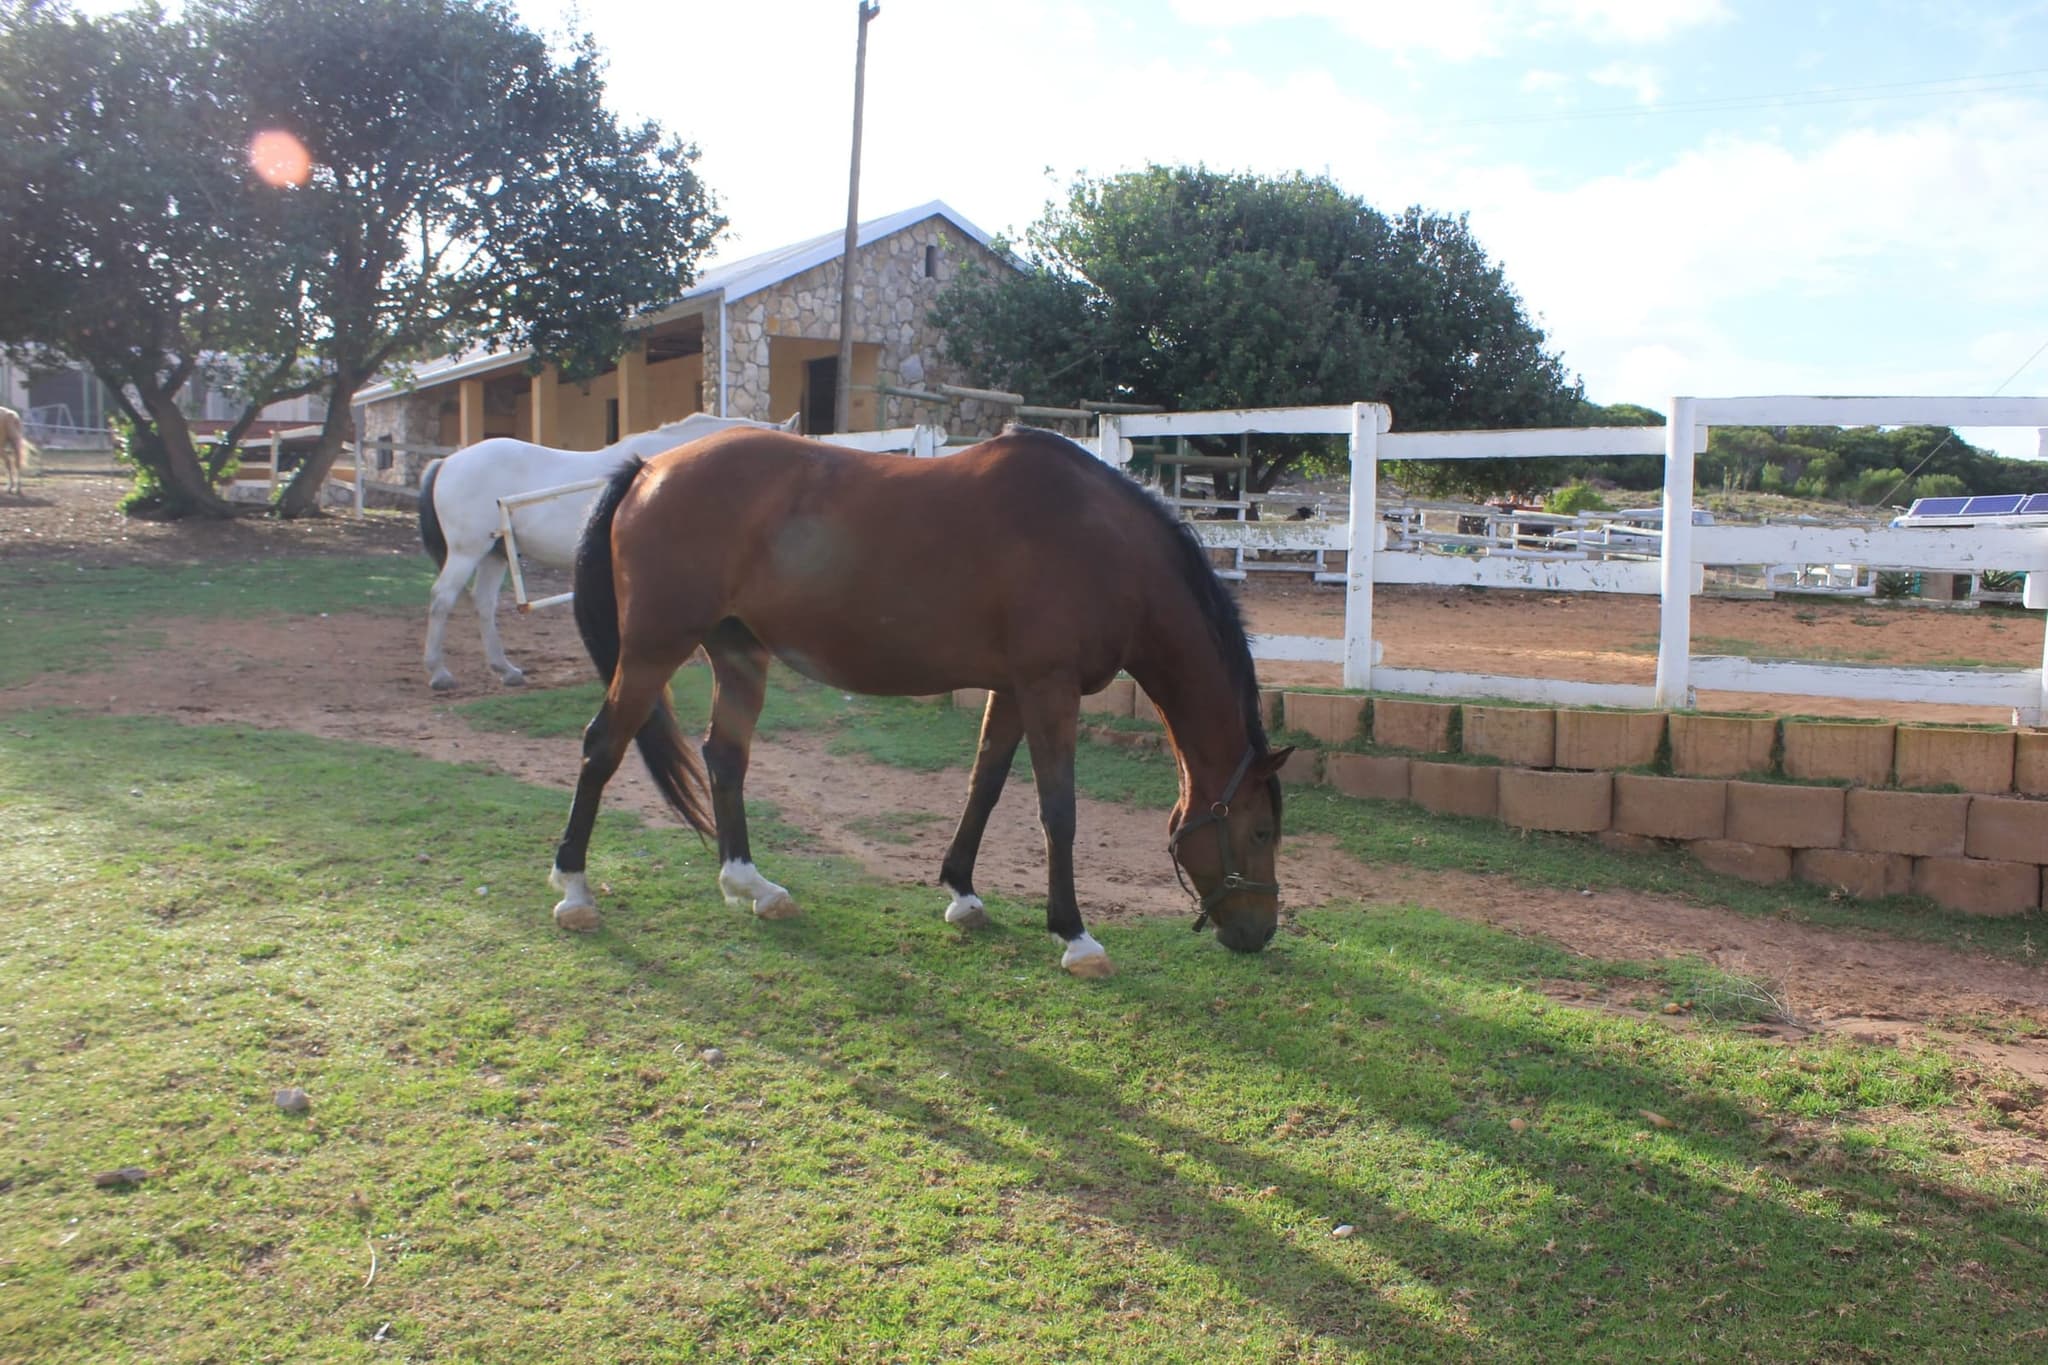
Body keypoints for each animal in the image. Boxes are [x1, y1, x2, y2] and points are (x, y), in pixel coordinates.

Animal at [416, 411, 796, 690]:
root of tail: (448, 462)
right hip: (467, 552)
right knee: (441, 599)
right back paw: (439, 674)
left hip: (494, 555)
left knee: (483, 604)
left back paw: (505, 670)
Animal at [549, 425, 1294, 977]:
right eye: (1261, 831)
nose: (1259, 932)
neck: (1104, 545)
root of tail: (649, 468)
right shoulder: (1048, 688)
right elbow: (1058, 811)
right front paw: (1075, 935)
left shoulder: (1013, 689)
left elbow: (984, 785)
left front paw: (963, 892)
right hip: (653, 649)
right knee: (602, 746)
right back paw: (575, 891)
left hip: (737, 654)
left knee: (724, 757)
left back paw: (752, 886)